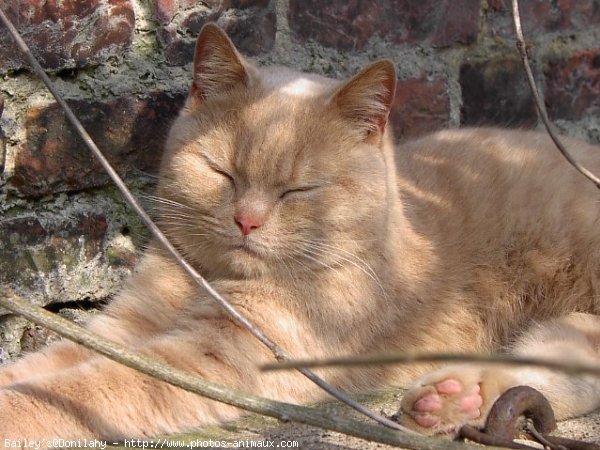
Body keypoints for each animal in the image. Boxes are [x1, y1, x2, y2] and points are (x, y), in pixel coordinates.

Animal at [3, 22, 600, 442]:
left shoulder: (217, 359)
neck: (208, 280)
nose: (247, 220)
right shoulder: (123, 327)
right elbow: (47, 365)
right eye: (222, 172)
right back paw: (456, 400)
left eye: (298, 190)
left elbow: (78, 388)